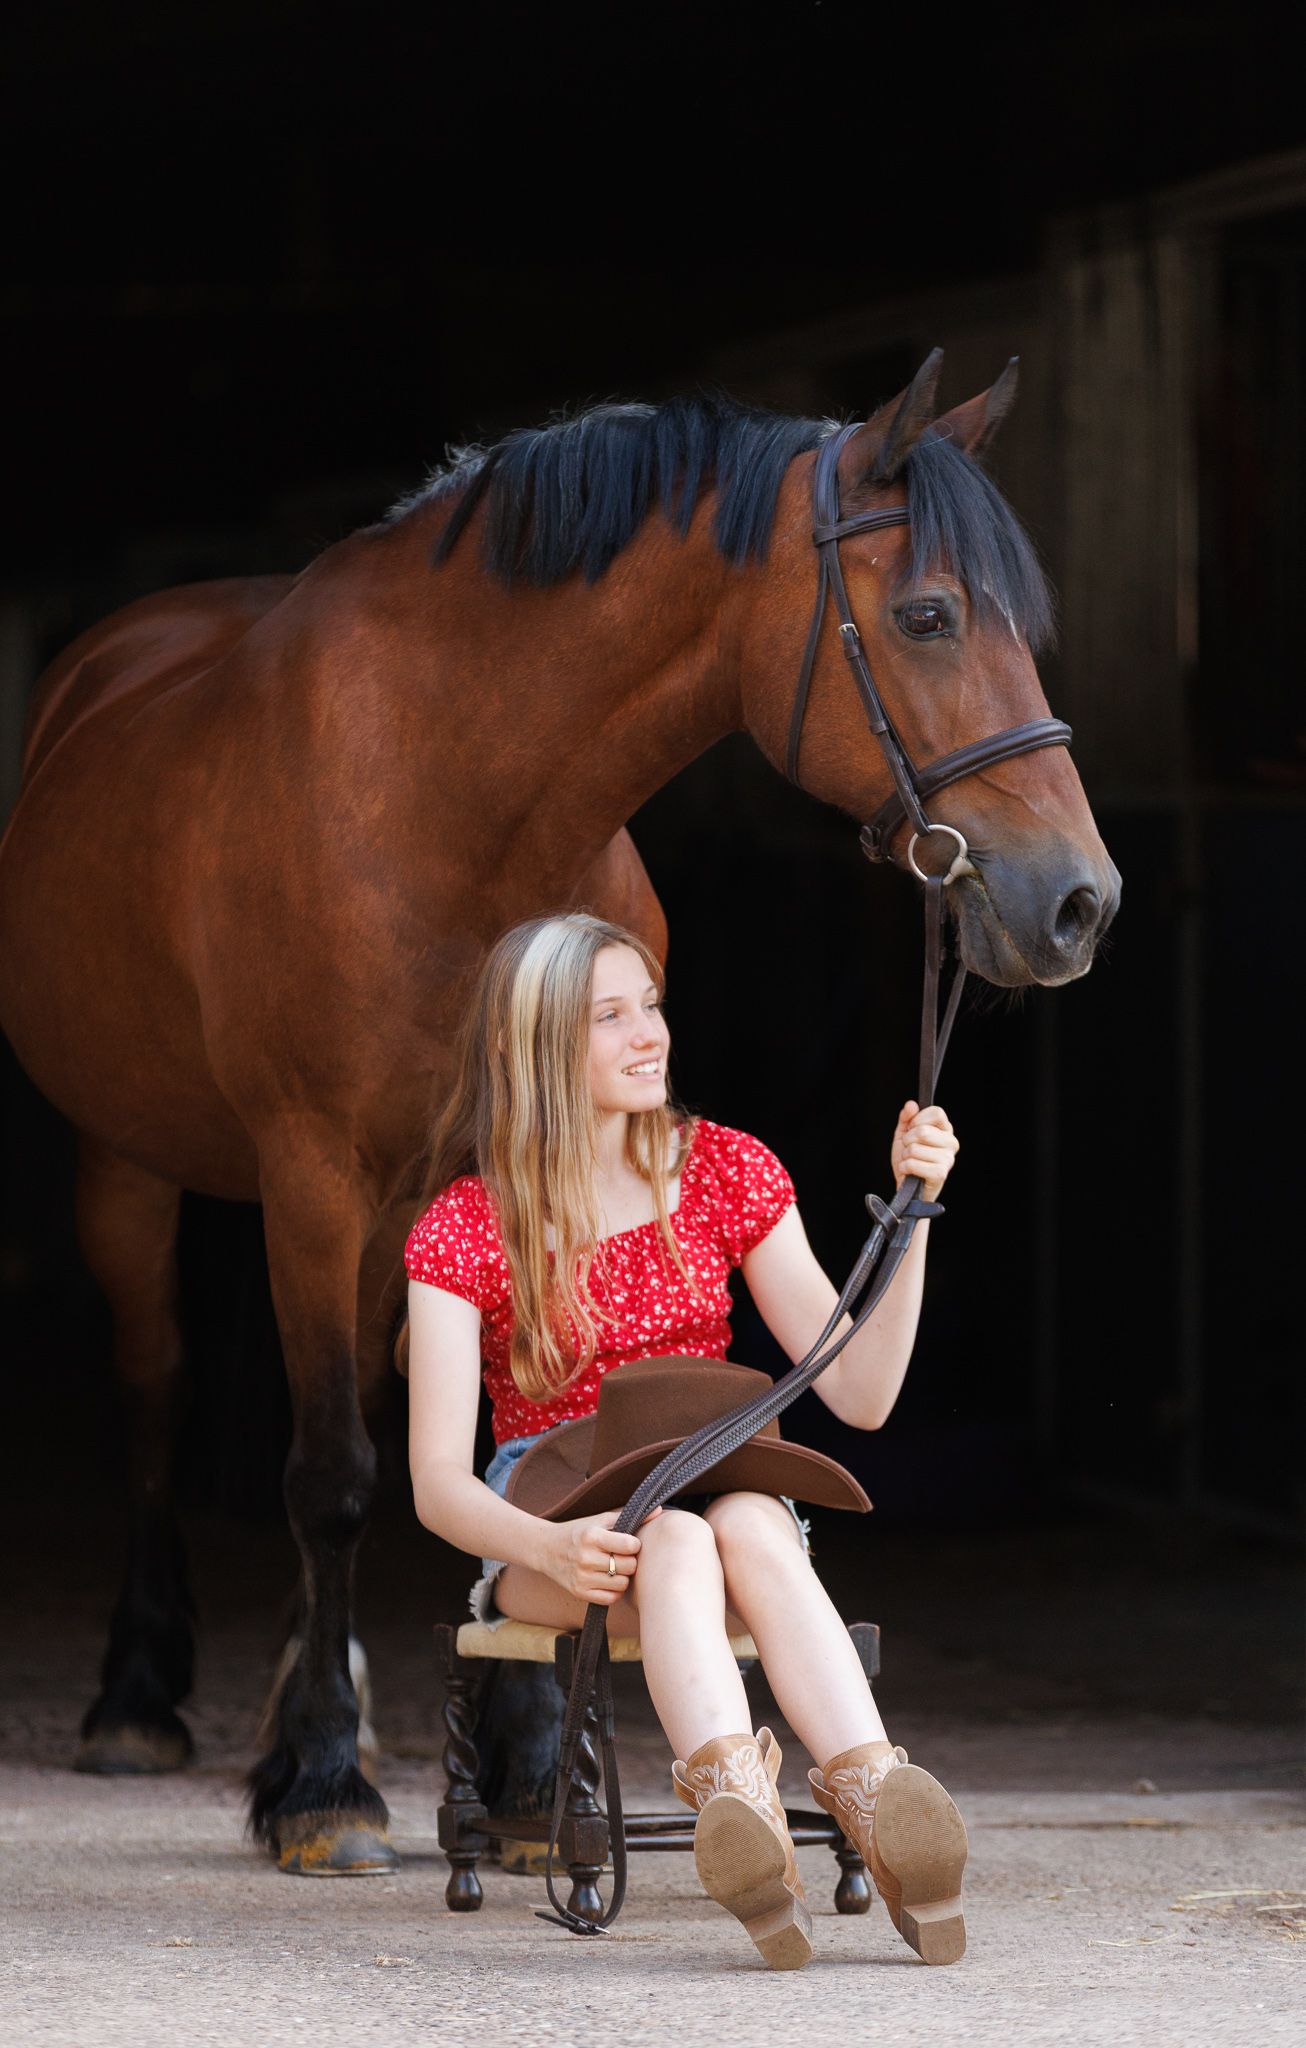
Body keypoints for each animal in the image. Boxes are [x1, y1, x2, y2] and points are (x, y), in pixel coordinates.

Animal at [0, 353, 1120, 1874]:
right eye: (927, 615)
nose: (1076, 902)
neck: (444, 794)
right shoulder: (314, 1175)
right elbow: (335, 1472)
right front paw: (322, 1788)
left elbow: (514, 1455)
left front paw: (529, 1768)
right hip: (133, 1166)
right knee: (160, 1393)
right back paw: (143, 1698)